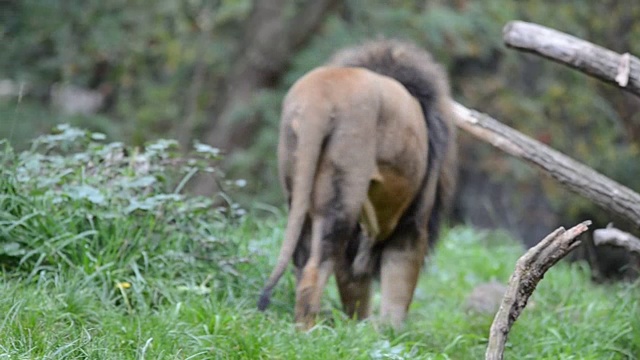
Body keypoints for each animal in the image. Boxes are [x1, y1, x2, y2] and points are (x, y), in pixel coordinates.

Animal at [258, 39, 458, 330]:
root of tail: (317, 101)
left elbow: (354, 285)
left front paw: (358, 327)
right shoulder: (413, 222)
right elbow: (399, 285)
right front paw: (390, 330)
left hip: (298, 186)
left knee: (302, 261)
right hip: (342, 191)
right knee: (315, 268)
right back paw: (308, 331)